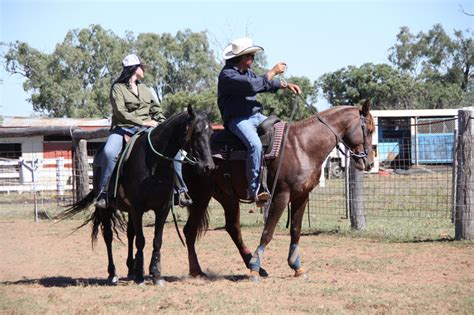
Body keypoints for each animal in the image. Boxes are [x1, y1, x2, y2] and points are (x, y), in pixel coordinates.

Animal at [59, 105, 215, 286]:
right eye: (196, 132)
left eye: (211, 133)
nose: (208, 166)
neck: (154, 164)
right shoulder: (138, 208)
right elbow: (141, 240)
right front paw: (141, 275)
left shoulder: (162, 208)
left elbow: (156, 240)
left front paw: (155, 274)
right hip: (107, 209)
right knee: (108, 237)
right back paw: (113, 273)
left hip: (129, 210)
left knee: (129, 234)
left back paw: (130, 269)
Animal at [181, 100, 374, 282]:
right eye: (370, 129)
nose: (370, 163)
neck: (303, 146)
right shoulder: (281, 195)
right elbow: (268, 232)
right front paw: (254, 270)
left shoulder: (301, 196)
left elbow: (296, 230)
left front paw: (296, 267)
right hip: (200, 195)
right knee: (190, 230)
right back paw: (198, 270)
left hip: (227, 197)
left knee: (232, 228)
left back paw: (254, 265)